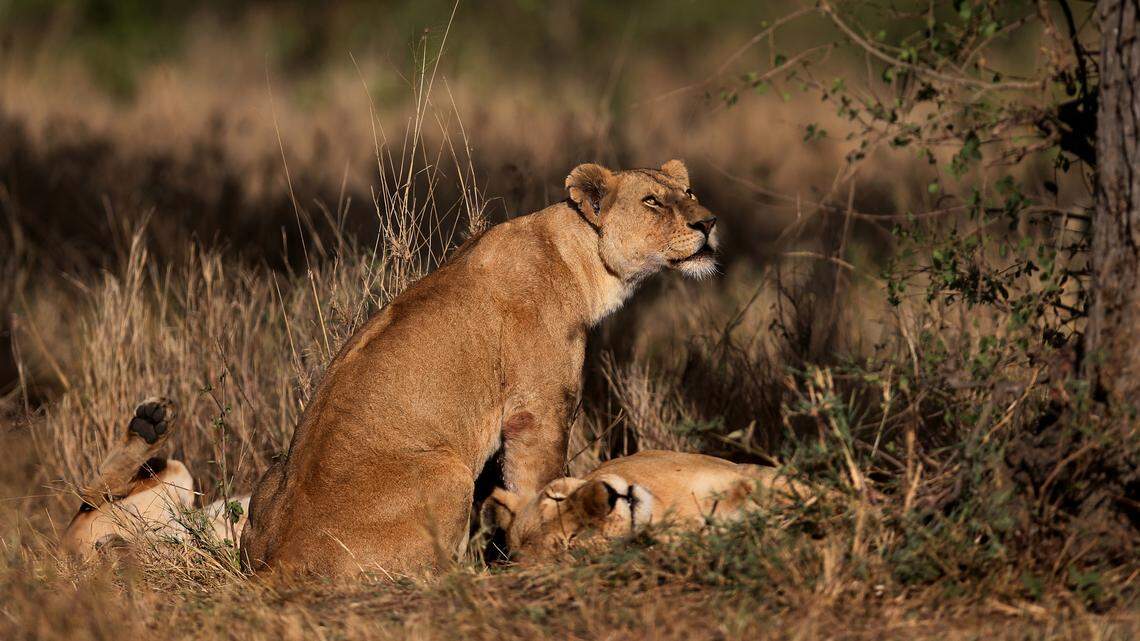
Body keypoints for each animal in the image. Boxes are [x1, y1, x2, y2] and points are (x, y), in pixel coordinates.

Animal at [240, 160, 720, 577]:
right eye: (652, 201)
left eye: (690, 193)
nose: (710, 223)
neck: (580, 258)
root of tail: (274, 560)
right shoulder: (537, 412)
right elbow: (540, 482)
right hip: (448, 471)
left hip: (271, 478)